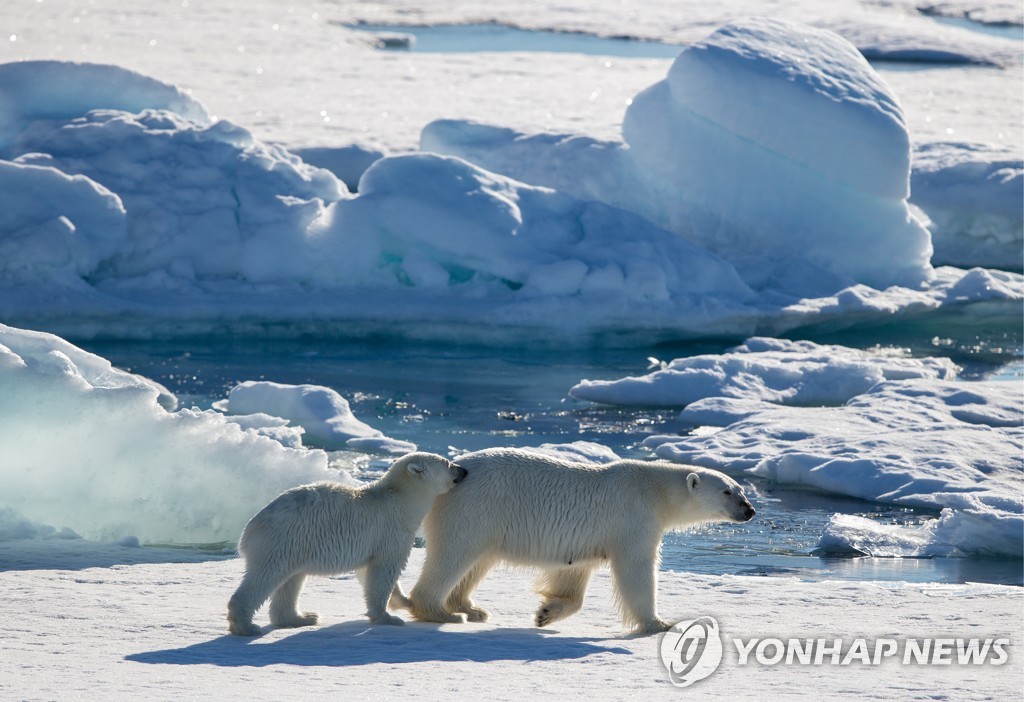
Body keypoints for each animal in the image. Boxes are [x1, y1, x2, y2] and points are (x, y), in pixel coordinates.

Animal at [399, 450, 753, 638]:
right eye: (727, 492)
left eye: (741, 490)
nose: (749, 511)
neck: (654, 489)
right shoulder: (633, 517)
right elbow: (637, 569)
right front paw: (661, 624)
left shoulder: (584, 540)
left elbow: (574, 574)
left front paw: (546, 613)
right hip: (474, 508)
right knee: (454, 555)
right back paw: (439, 611)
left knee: (477, 562)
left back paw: (471, 608)